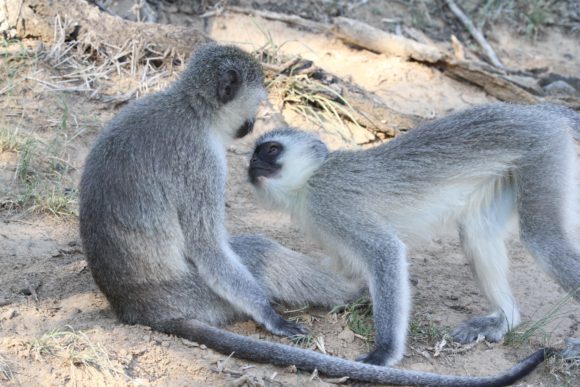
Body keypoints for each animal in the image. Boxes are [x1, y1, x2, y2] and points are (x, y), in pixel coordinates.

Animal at [248, 104, 580, 370]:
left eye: (272, 150)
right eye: (254, 153)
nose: (250, 165)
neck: (307, 182)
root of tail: (534, 111)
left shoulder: (329, 202)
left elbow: (386, 252)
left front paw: (384, 353)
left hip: (543, 151)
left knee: (543, 240)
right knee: (478, 231)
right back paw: (506, 318)